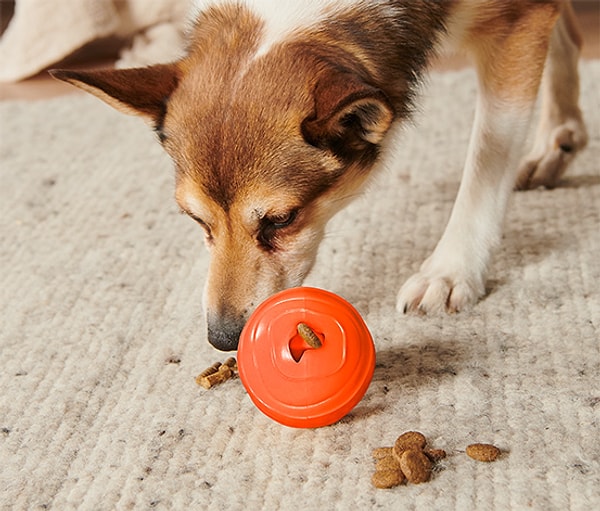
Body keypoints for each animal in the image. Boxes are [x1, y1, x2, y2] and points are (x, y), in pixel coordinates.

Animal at [51, 0, 584, 350]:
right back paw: (559, 138)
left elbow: (486, 160)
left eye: (281, 220)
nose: (222, 339)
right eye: (196, 220)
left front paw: (451, 270)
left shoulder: (516, 25)